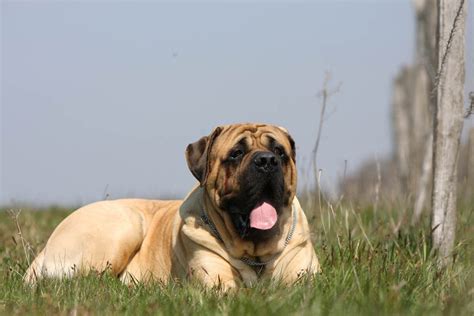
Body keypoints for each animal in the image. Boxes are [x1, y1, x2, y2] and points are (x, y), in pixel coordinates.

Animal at [26, 123, 322, 288]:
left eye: (280, 152)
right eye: (236, 153)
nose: (267, 161)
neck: (256, 253)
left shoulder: (304, 277)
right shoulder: (217, 282)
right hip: (124, 225)